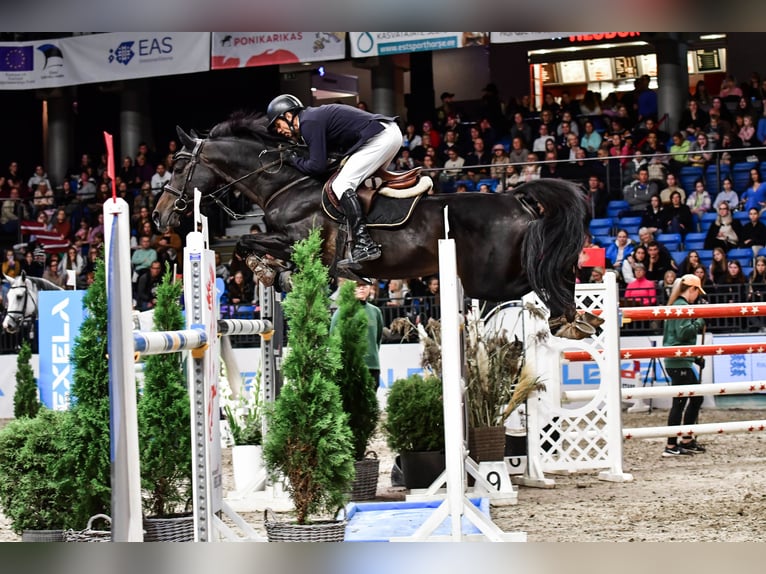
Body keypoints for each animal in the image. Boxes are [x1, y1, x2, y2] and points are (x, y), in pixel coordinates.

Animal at [154, 111, 588, 322]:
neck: (287, 185)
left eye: (177, 165)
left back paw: (569, 316)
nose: (159, 218)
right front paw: (274, 274)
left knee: (539, 282)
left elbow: (248, 241)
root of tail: (517, 199)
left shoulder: (300, 241)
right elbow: (256, 247)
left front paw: (267, 270)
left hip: (490, 277)